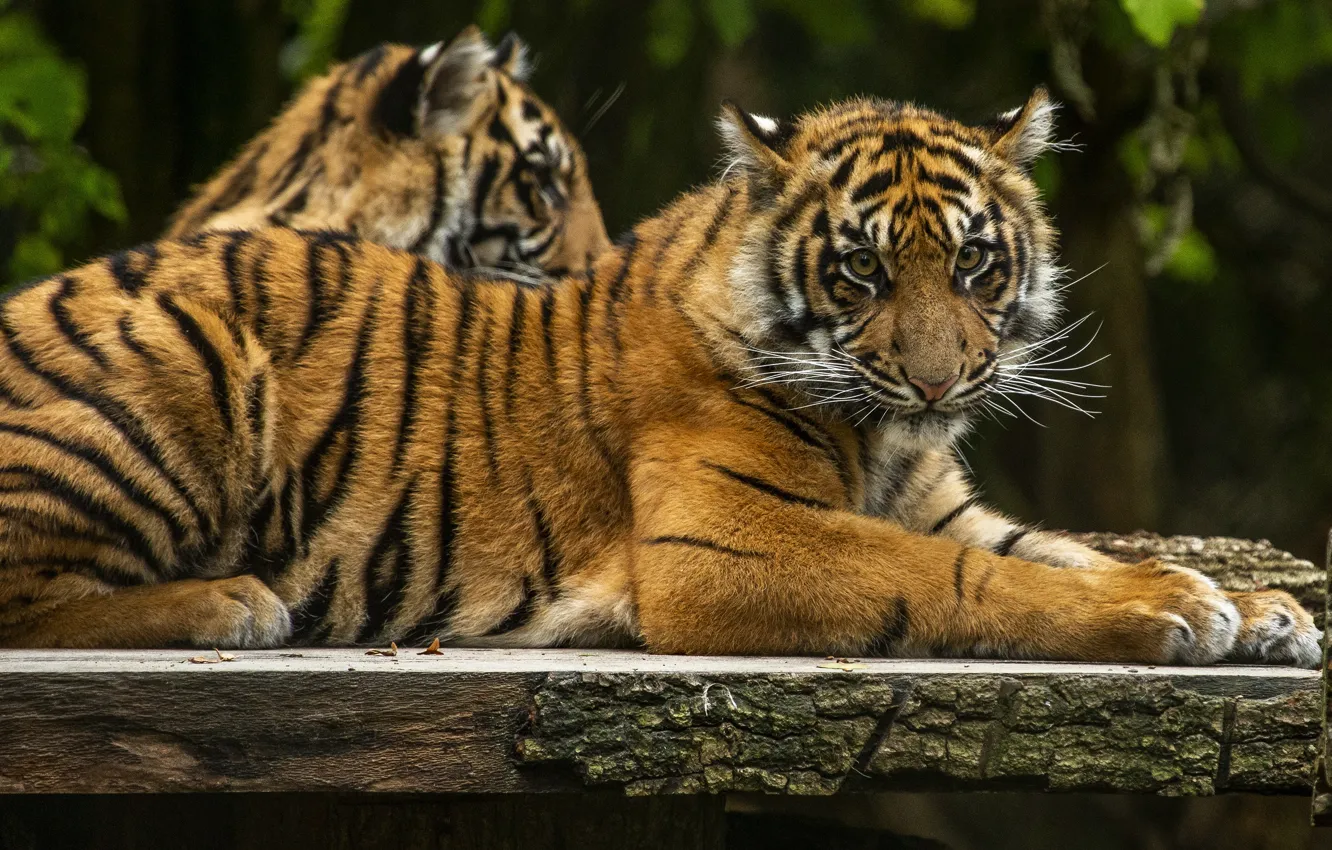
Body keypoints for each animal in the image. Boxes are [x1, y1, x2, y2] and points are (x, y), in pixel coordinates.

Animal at [0, 87, 1318, 666]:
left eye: (975, 264)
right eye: (861, 271)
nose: (942, 386)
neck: (886, 432)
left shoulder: (946, 505)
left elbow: (1061, 550)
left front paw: (1251, 604)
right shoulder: (726, 537)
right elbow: (963, 578)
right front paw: (1172, 615)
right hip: (186, 361)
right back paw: (234, 602)